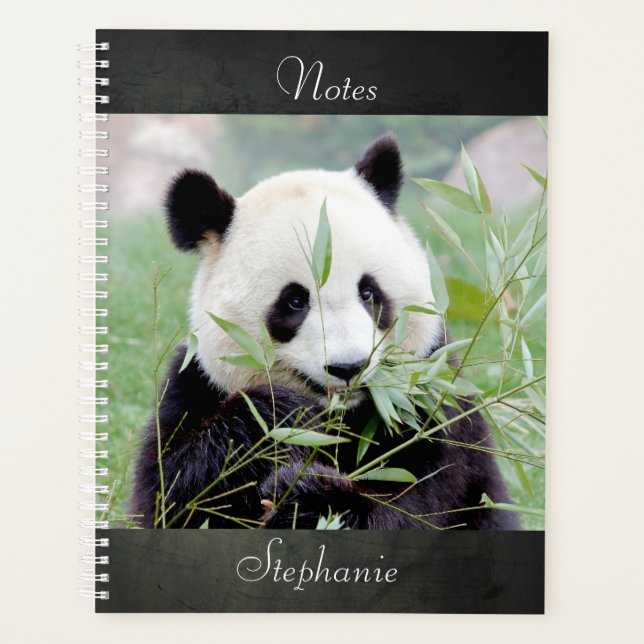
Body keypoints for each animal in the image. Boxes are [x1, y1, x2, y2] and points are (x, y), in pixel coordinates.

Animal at [129, 134, 520, 530]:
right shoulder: (196, 386)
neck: (344, 419)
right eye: (294, 302)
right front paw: (280, 417)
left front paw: (311, 497)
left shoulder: (436, 403)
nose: (349, 367)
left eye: (369, 292)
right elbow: (172, 491)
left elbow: (421, 504)